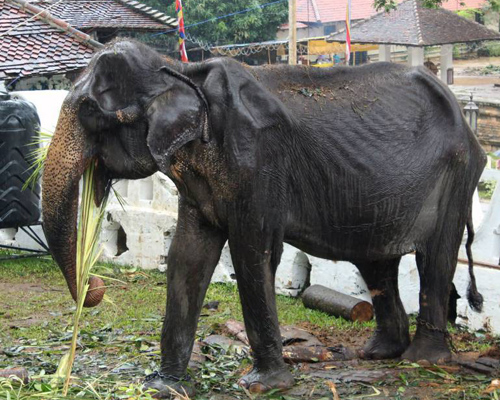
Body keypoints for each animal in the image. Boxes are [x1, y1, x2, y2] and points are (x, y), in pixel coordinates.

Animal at [41, 39, 486, 396]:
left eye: (90, 112)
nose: (96, 285)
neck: (181, 72)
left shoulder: (258, 162)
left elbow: (253, 255)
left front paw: (262, 385)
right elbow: (187, 258)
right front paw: (163, 387)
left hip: (456, 175)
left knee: (435, 259)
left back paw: (423, 360)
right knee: (376, 263)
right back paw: (379, 354)